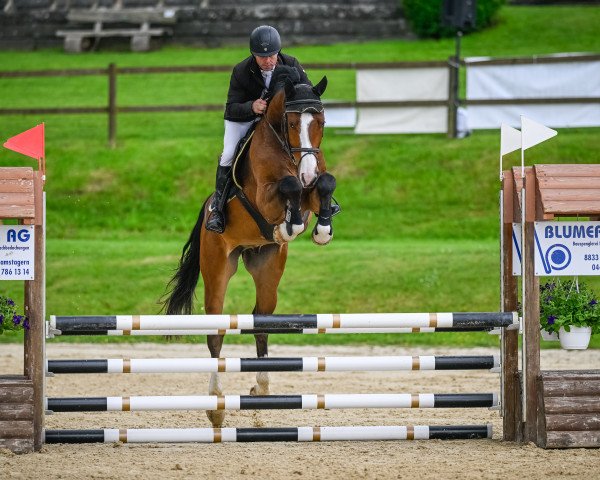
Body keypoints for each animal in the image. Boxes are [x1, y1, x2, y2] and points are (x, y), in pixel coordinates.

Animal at [164, 64, 338, 428]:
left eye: (321, 121)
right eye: (291, 123)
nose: (307, 173)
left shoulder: (314, 190)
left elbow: (325, 185)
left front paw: (322, 231)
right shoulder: (266, 196)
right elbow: (288, 189)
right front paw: (289, 226)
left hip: (267, 265)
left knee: (262, 320)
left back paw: (261, 389)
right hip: (218, 265)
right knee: (215, 332)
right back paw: (216, 406)